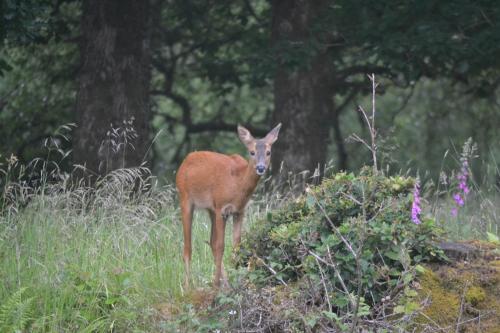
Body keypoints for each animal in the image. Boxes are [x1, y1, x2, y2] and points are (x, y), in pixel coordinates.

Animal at [176, 123, 282, 286]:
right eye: (252, 152)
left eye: (268, 152)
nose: (261, 168)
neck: (237, 184)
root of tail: (184, 162)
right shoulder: (222, 207)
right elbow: (221, 246)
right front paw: (216, 284)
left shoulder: (239, 211)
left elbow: (236, 244)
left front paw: (234, 277)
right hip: (185, 198)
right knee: (188, 247)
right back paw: (188, 286)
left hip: (210, 209)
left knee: (211, 242)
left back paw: (224, 282)